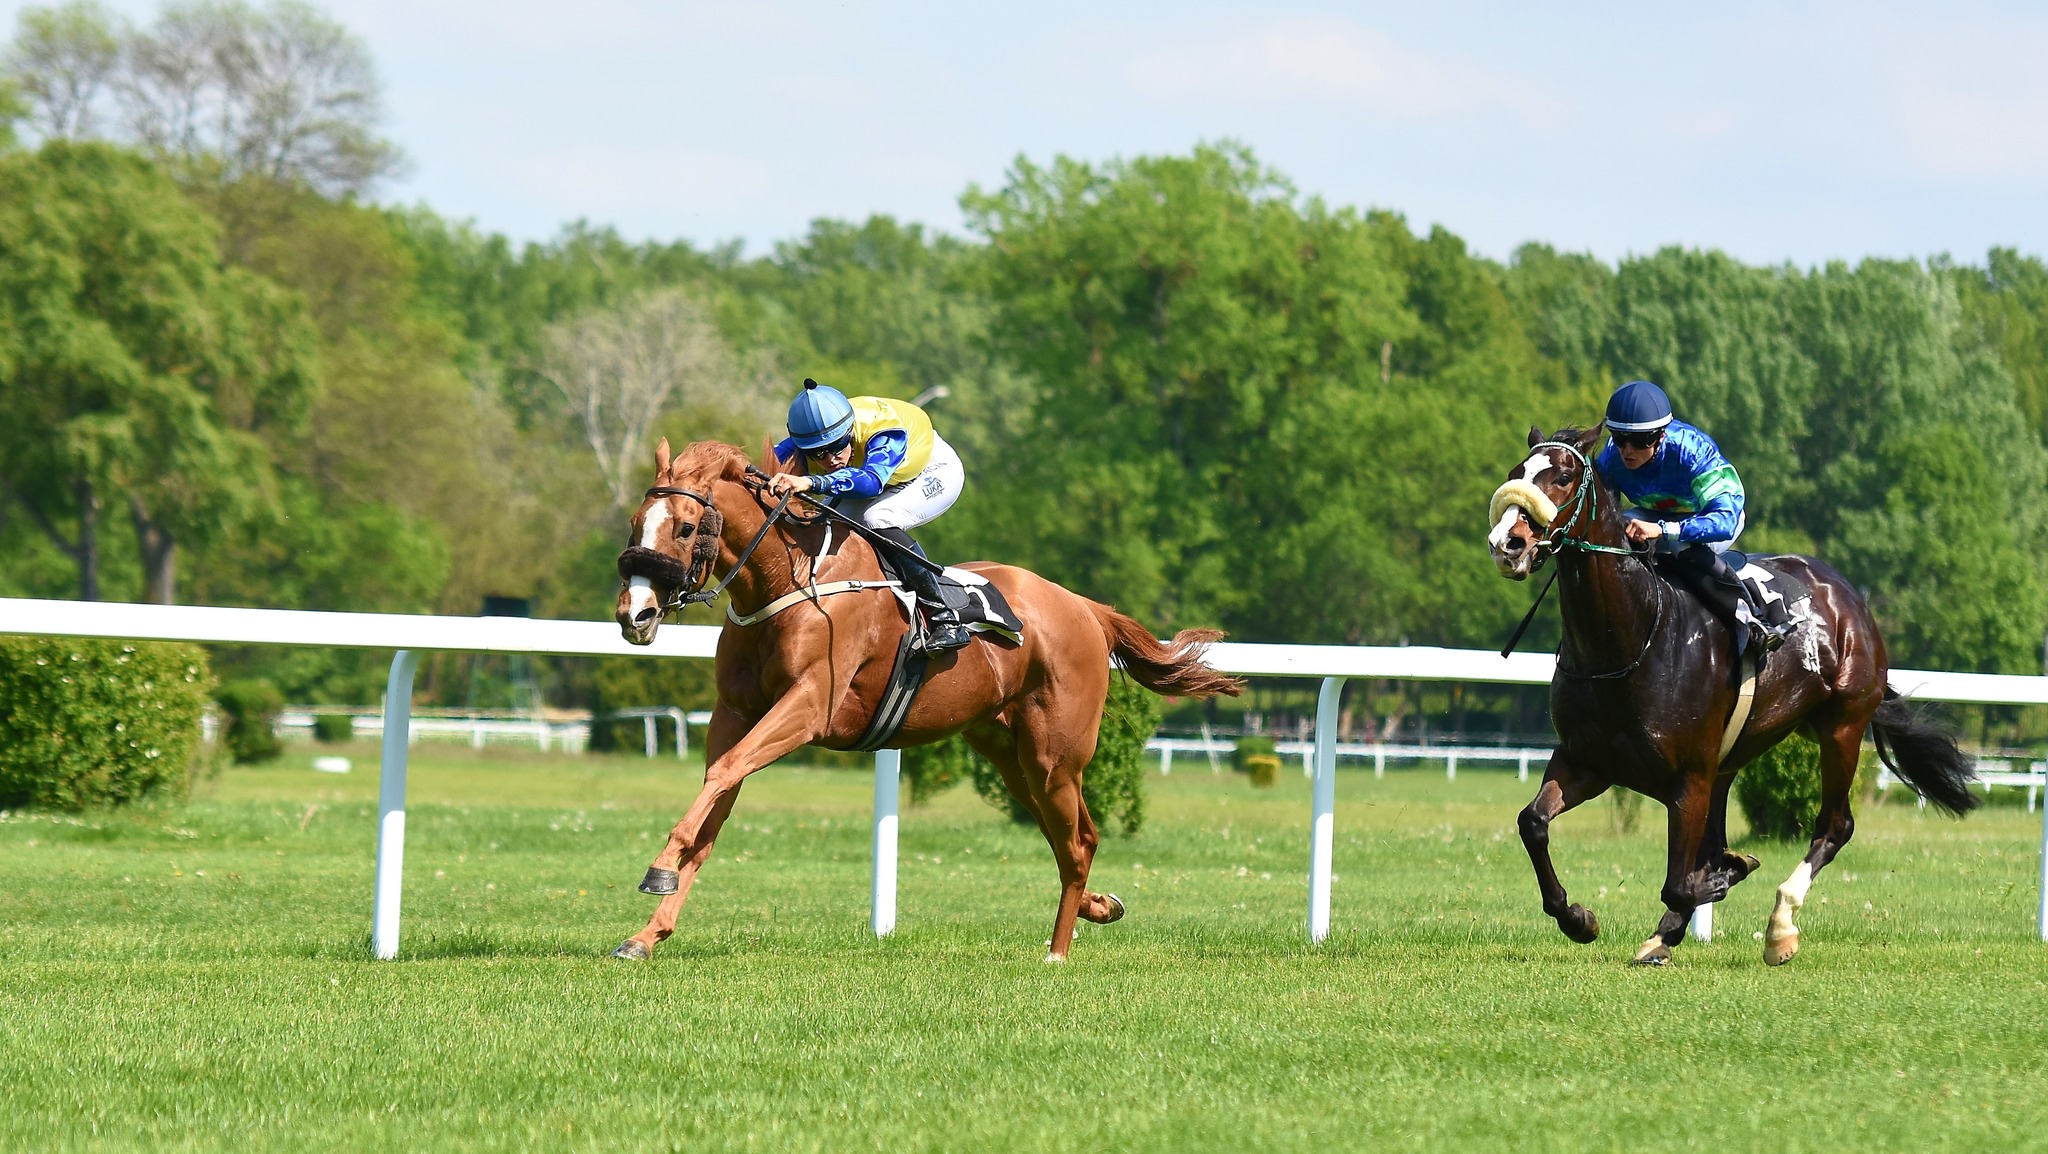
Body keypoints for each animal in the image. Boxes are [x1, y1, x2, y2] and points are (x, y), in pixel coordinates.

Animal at [606, 438, 1236, 963]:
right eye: (636, 523)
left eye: (686, 527)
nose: (635, 615)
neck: (787, 580)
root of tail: (1085, 607)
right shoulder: (735, 713)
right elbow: (714, 805)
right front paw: (647, 933)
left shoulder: (808, 707)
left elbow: (723, 775)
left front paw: (658, 869)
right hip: (1011, 756)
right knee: (1071, 837)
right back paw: (1098, 905)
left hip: (1055, 755)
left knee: (1077, 842)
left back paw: (1058, 951)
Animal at [1482, 424, 1974, 967]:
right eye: (1517, 472)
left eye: (1564, 477)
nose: (1507, 543)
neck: (1629, 640)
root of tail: (1848, 597)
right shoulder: (1586, 761)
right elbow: (1533, 823)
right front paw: (1579, 918)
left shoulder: (1689, 778)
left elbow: (1682, 881)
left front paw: (1723, 879)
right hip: (1736, 755)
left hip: (1841, 726)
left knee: (1835, 825)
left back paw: (1780, 925)